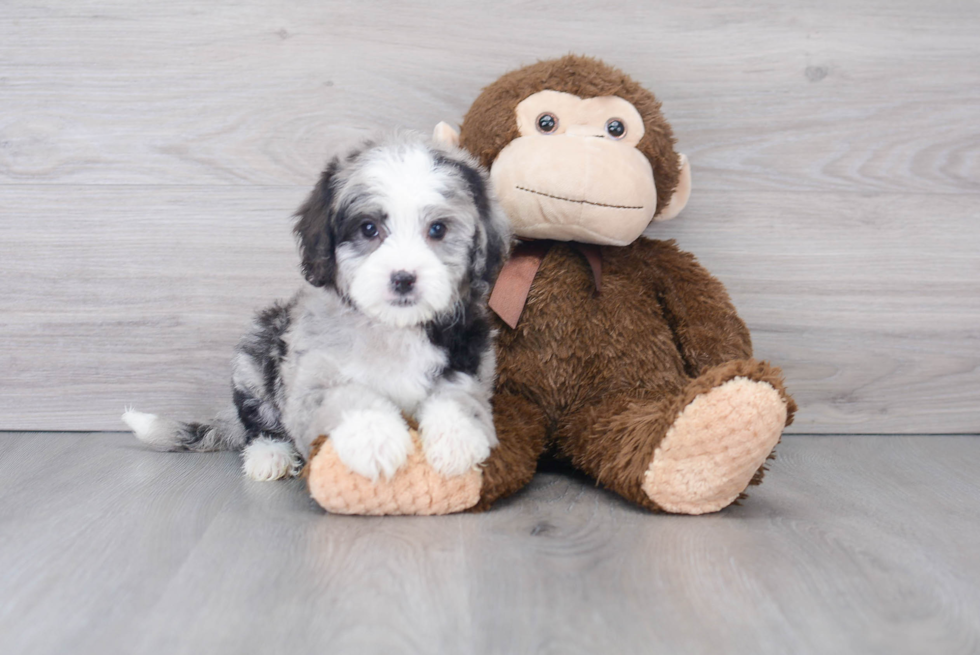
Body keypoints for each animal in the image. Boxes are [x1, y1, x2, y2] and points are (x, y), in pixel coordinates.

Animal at [122, 133, 512, 482]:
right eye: (368, 228)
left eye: (438, 229)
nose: (403, 278)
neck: (391, 328)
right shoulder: (310, 374)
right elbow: (345, 396)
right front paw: (375, 441)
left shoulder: (471, 358)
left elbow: (459, 393)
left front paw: (457, 439)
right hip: (255, 352)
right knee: (257, 421)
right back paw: (269, 455)